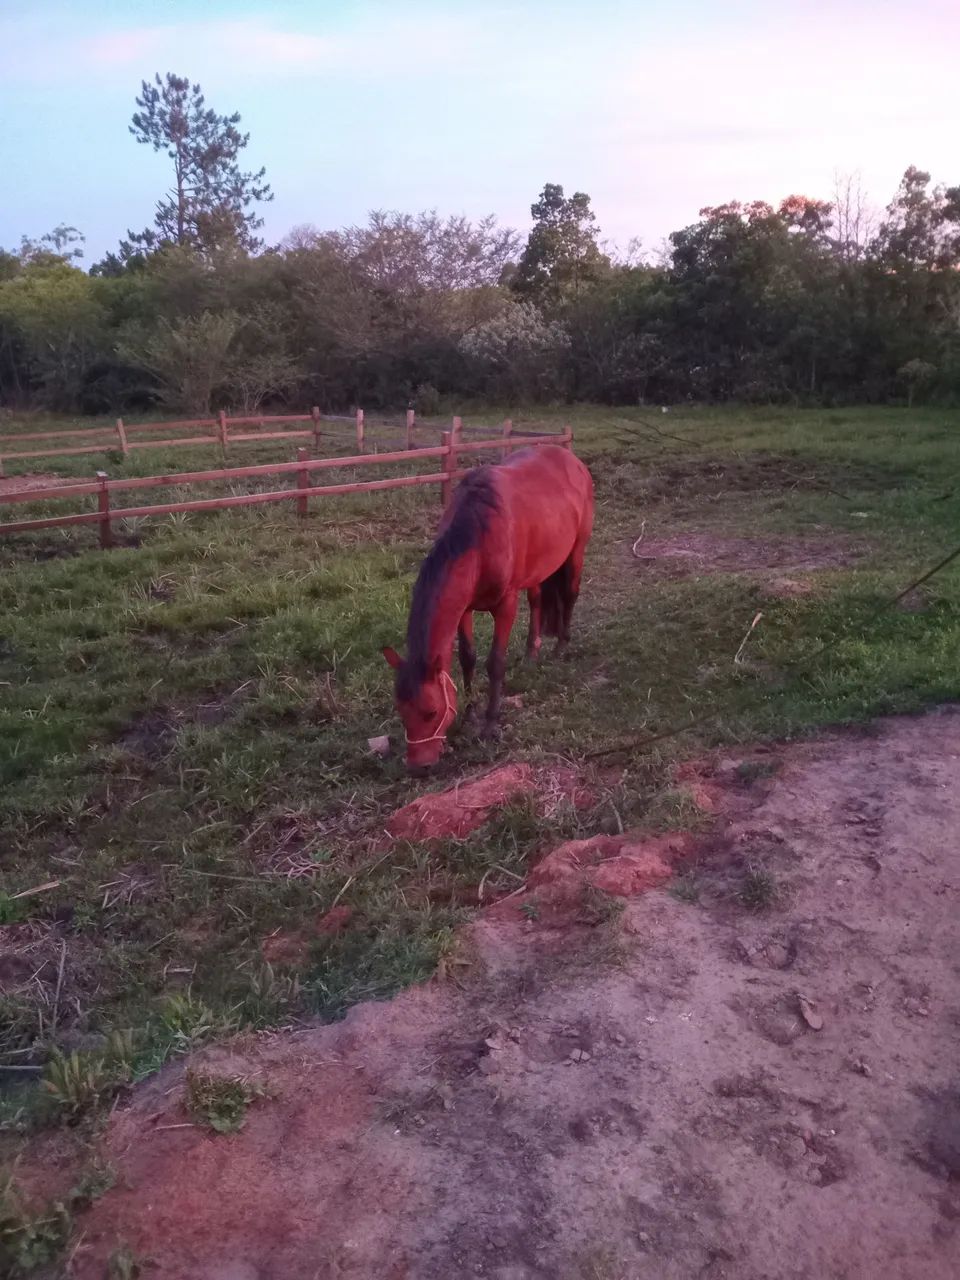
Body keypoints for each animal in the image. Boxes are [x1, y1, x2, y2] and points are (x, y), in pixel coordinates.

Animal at [382, 443, 594, 772]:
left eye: (431, 712)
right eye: (401, 711)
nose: (419, 767)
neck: (478, 537)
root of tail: (572, 459)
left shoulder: (505, 604)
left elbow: (495, 662)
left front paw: (491, 724)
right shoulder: (464, 609)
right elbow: (467, 658)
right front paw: (470, 712)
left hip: (576, 551)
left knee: (570, 594)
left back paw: (561, 646)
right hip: (537, 568)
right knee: (536, 601)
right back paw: (531, 654)